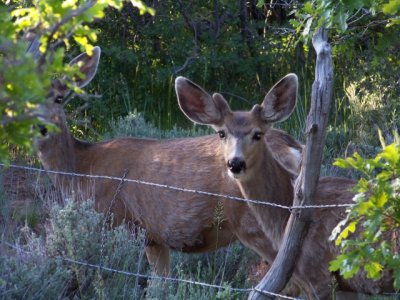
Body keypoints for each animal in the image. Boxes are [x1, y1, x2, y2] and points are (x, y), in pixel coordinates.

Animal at [35, 45, 304, 290]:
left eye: (59, 98)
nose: (41, 127)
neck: (81, 168)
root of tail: (294, 148)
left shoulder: (112, 220)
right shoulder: (154, 237)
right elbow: (162, 283)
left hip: (258, 224)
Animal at [177, 75, 396, 298]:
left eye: (258, 134)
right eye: (221, 134)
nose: (235, 163)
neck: (286, 212)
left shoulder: (319, 273)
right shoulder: (345, 283)